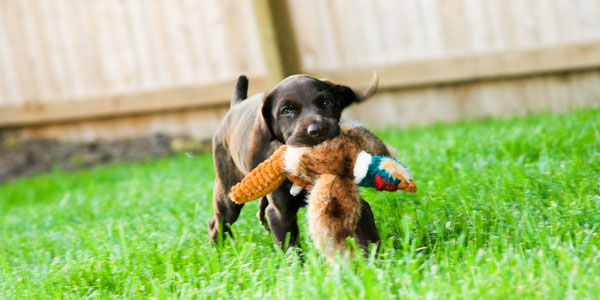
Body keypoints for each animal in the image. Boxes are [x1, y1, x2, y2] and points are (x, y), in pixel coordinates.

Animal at [210, 74, 390, 250]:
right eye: (286, 111)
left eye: (327, 102)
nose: (318, 130)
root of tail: (235, 105)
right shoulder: (280, 215)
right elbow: (291, 250)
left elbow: (369, 238)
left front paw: (374, 258)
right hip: (228, 197)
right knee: (218, 222)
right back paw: (218, 249)